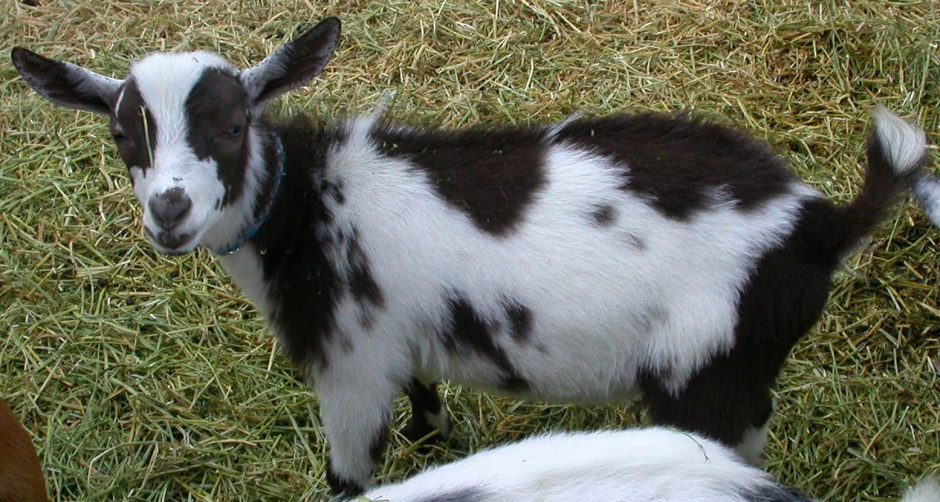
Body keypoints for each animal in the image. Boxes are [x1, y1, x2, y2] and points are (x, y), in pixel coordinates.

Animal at [10, 17, 929, 496]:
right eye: (122, 136)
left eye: (234, 125)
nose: (169, 212)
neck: (311, 205)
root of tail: (819, 224)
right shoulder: (401, 337)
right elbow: (425, 394)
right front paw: (432, 437)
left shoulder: (349, 369)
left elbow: (350, 477)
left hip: (710, 373)